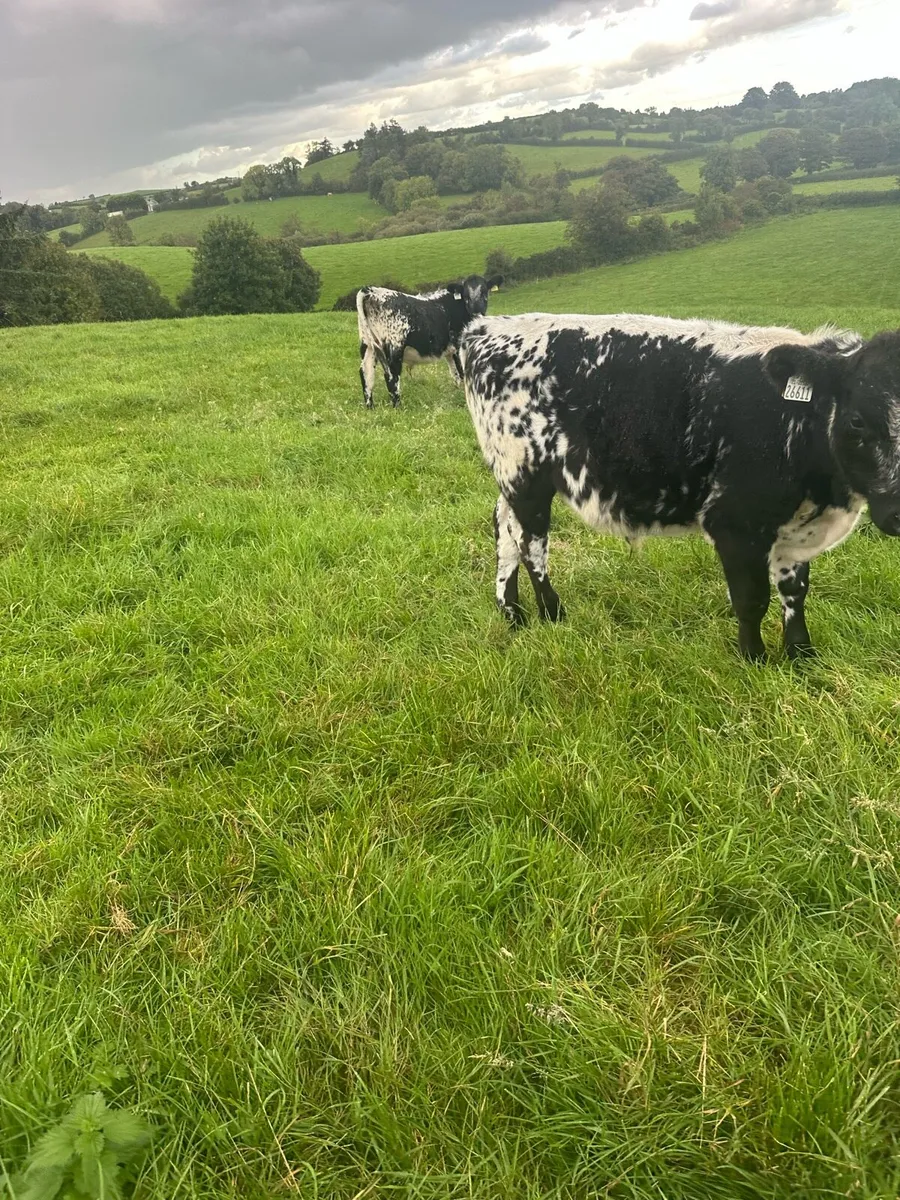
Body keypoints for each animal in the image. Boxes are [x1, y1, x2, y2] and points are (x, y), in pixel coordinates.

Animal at [356, 275, 502, 408]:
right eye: (466, 296)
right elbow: (463, 373)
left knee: (366, 373)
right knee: (392, 376)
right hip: (394, 347)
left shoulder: (450, 352)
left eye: (484, 292)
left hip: (367, 345)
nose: (477, 312)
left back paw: (370, 407)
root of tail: (371, 290)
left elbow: (455, 374)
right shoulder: (458, 346)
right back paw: (398, 407)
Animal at [456, 312, 900, 661]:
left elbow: (795, 591)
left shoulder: (794, 525)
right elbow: (752, 598)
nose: (898, 514)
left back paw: (511, 612)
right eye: (857, 420)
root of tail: (484, 328)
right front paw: (754, 660)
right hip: (524, 472)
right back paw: (551, 613)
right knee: (530, 542)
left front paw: (801, 655)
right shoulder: (734, 523)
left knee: (504, 528)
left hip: (512, 478)